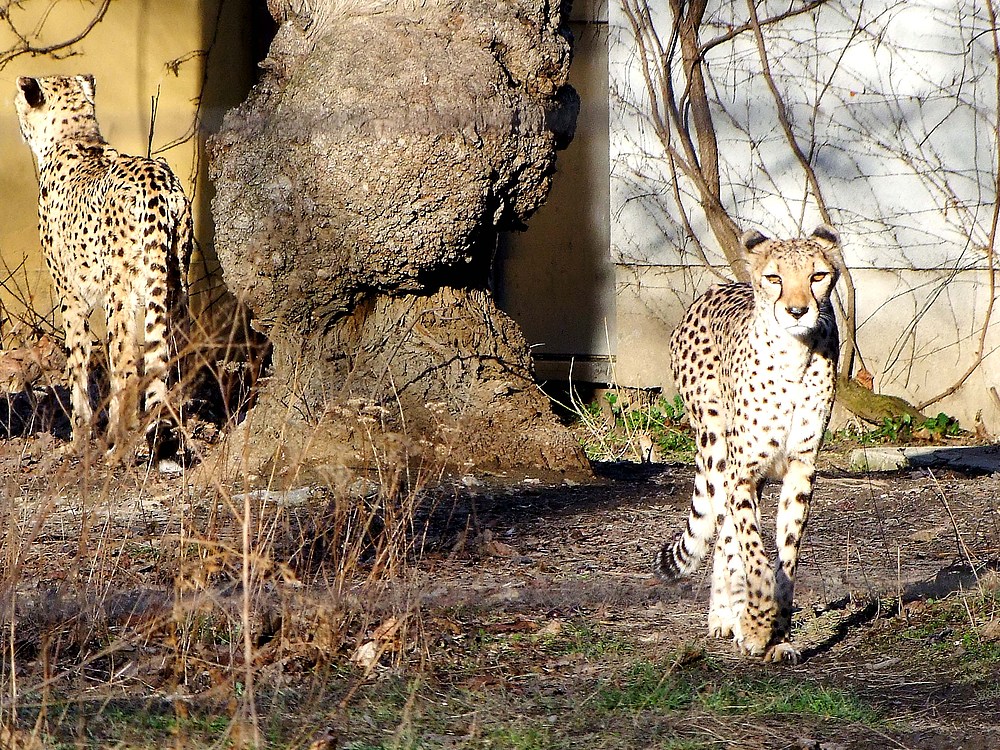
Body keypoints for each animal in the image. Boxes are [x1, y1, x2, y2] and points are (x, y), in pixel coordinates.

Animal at [15, 76, 191, 464]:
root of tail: (157, 181)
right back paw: (162, 439)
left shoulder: (71, 295)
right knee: (169, 358)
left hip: (120, 293)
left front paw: (79, 439)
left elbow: (78, 364)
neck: (74, 137)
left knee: (125, 365)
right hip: (174, 282)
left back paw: (118, 447)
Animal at [656, 225, 844, 664]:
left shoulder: (801, 467)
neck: (794, 357)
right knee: (726, 533)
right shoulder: (743, 471)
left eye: (817, 276)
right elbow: (753, 554)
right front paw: (757, 624)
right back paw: (729, 616)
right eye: (774, 278)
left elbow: (787, 554)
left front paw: (779, 632)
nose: (797, 311)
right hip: (715, 447)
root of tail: (716, 287)